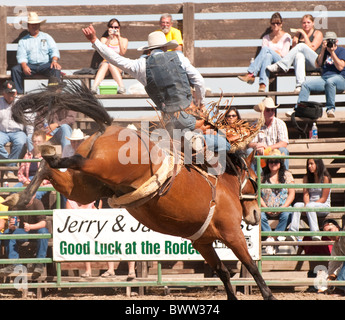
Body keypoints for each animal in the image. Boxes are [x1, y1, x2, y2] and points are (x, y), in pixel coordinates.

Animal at [5, 82, 274, 300]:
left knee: (50, 170)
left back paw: (21, 195)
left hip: (84, 189)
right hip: (101, 167)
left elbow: (222, 272)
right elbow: (251, 266)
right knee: (72, 161)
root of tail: (110, 127)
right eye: (255, 181)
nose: (256, 214)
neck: (225, 185)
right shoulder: (232, 233)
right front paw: (268, 294)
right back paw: (50, 155)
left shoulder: (203, 243)